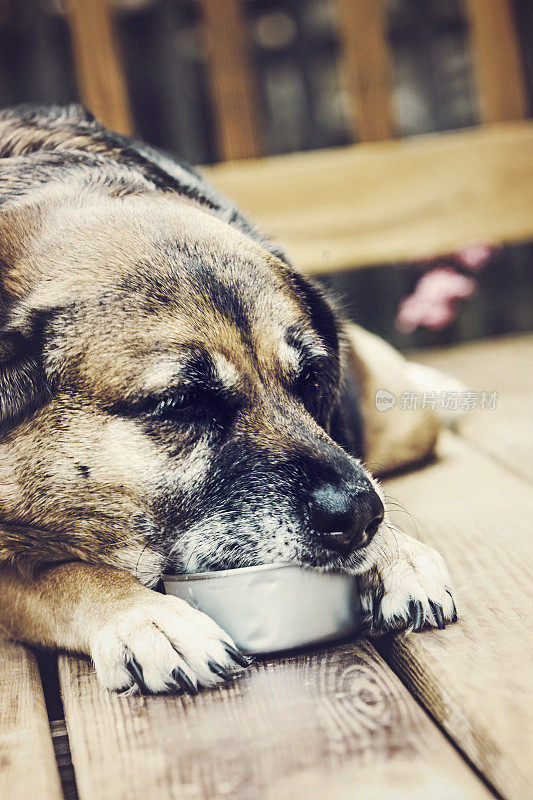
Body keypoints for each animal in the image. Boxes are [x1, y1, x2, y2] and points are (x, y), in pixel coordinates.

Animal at [0, 106, 458, 692]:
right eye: (183, 404)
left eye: (312, 382)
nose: (359, 515)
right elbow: (56, 573)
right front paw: (146, 616)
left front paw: (395, 552)